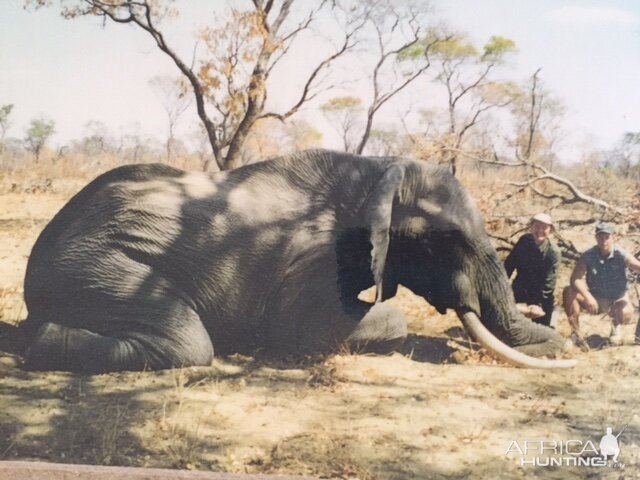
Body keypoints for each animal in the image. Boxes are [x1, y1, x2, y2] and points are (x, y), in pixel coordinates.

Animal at [11, 149, 576, 372]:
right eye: (445, 242)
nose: (569, 348)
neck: (379, 171)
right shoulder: (313, 260)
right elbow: (305, 330)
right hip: (96, 264)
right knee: (188, 342)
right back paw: (38, 344)